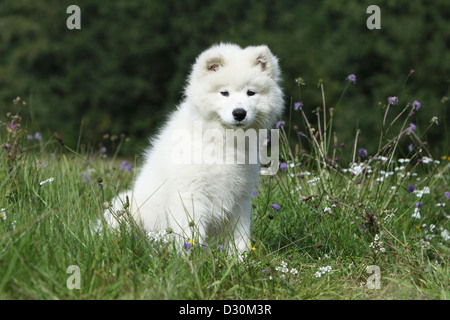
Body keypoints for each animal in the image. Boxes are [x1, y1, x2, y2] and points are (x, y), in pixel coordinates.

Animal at [103, 43, 284, 252]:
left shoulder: (239, 198)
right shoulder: (190, 195)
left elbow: (239, 235)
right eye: (224, 93)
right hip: (123, 208)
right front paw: (193, 255)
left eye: (251, 93)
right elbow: (191, 234)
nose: (239, 113)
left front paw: (241, 257)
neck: (220, 139)